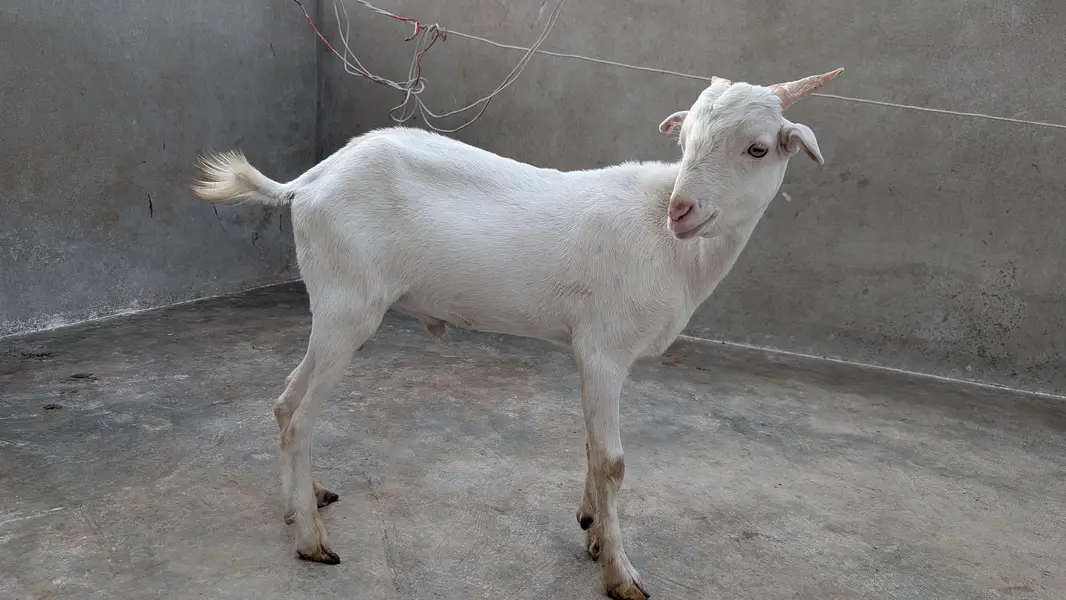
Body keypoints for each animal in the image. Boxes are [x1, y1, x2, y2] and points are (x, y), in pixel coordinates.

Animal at [191, 68, 843, 600]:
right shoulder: (604, 349)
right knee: (300, 416)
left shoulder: (590, 354)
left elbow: (590, 447)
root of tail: (309, 182)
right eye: (684, 145)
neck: (671, 248)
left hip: (335, 310)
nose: (680, 211)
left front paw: (591, 531)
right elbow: (613, 461)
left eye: (757, 148)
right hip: (347, 305)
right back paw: (311, 540)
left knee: (285, 399)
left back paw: (300, 502)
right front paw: (621, 574)